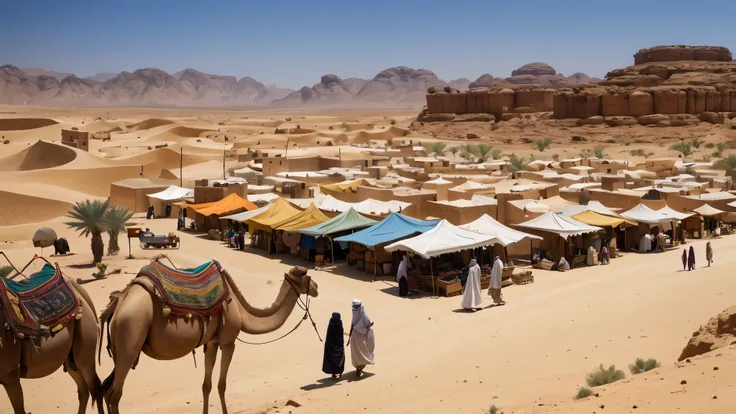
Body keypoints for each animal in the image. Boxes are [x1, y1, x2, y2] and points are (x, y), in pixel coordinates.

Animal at [0, 266, 105, 412]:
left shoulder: (10, 373)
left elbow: (19, 410)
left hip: (85, 339)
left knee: (94, 384)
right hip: (70, 356)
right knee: (82, 388)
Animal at [99, 262, 318, 414]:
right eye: (307, 277)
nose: (316, 287)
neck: (241, 311)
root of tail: (119, 303)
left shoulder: (212, 342)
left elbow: (207, 385)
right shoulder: (229, 342)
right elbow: (222, 385)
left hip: (120, 348)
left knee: (105, 390)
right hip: (131, 334)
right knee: (114, 395)